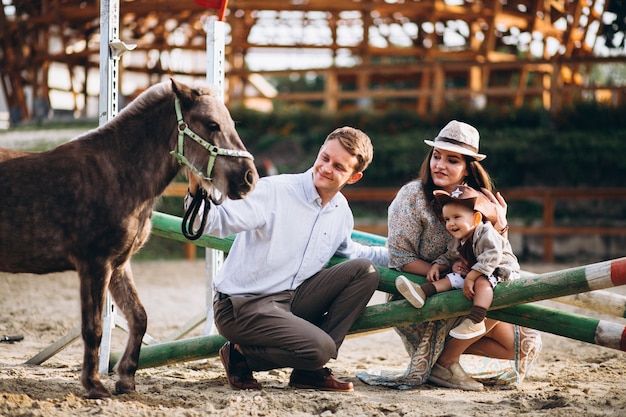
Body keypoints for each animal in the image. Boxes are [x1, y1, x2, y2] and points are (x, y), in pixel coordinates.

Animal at [0, 79, 256, 400]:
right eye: (212, 124)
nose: (249, 178)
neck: (117, 175)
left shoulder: (119, 265)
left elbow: (139, 317)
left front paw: (126, 379)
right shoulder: (95, 264)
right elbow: (94, 327)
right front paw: (94, 385)